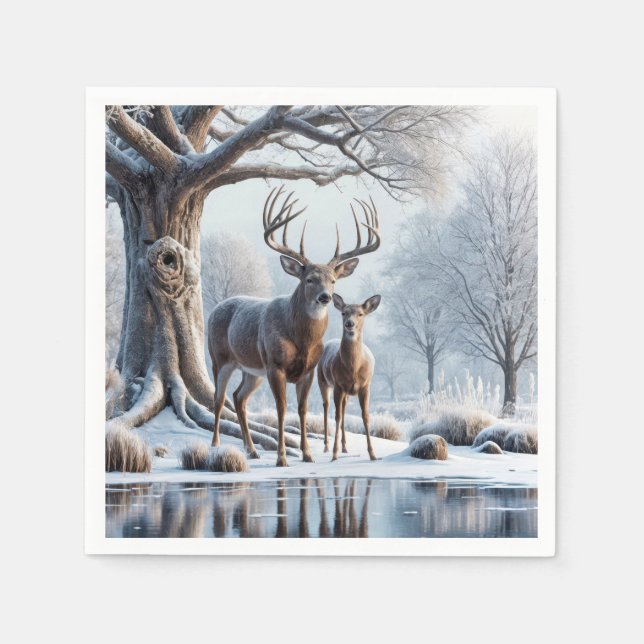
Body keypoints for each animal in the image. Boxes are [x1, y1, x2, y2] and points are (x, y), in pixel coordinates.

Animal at [317, 293, 382, 461]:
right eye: (343, 313)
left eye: (361, 314)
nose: (349, 324)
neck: (353, 369)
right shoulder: (338, 386)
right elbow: (337, 416)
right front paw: (334, 454)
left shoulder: (365, 386)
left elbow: (365, 416)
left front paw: (373, 454)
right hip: (322, 381)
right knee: (326, 407)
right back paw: (327, 447)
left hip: (346, 392)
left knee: (344, 410)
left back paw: (345, 447)